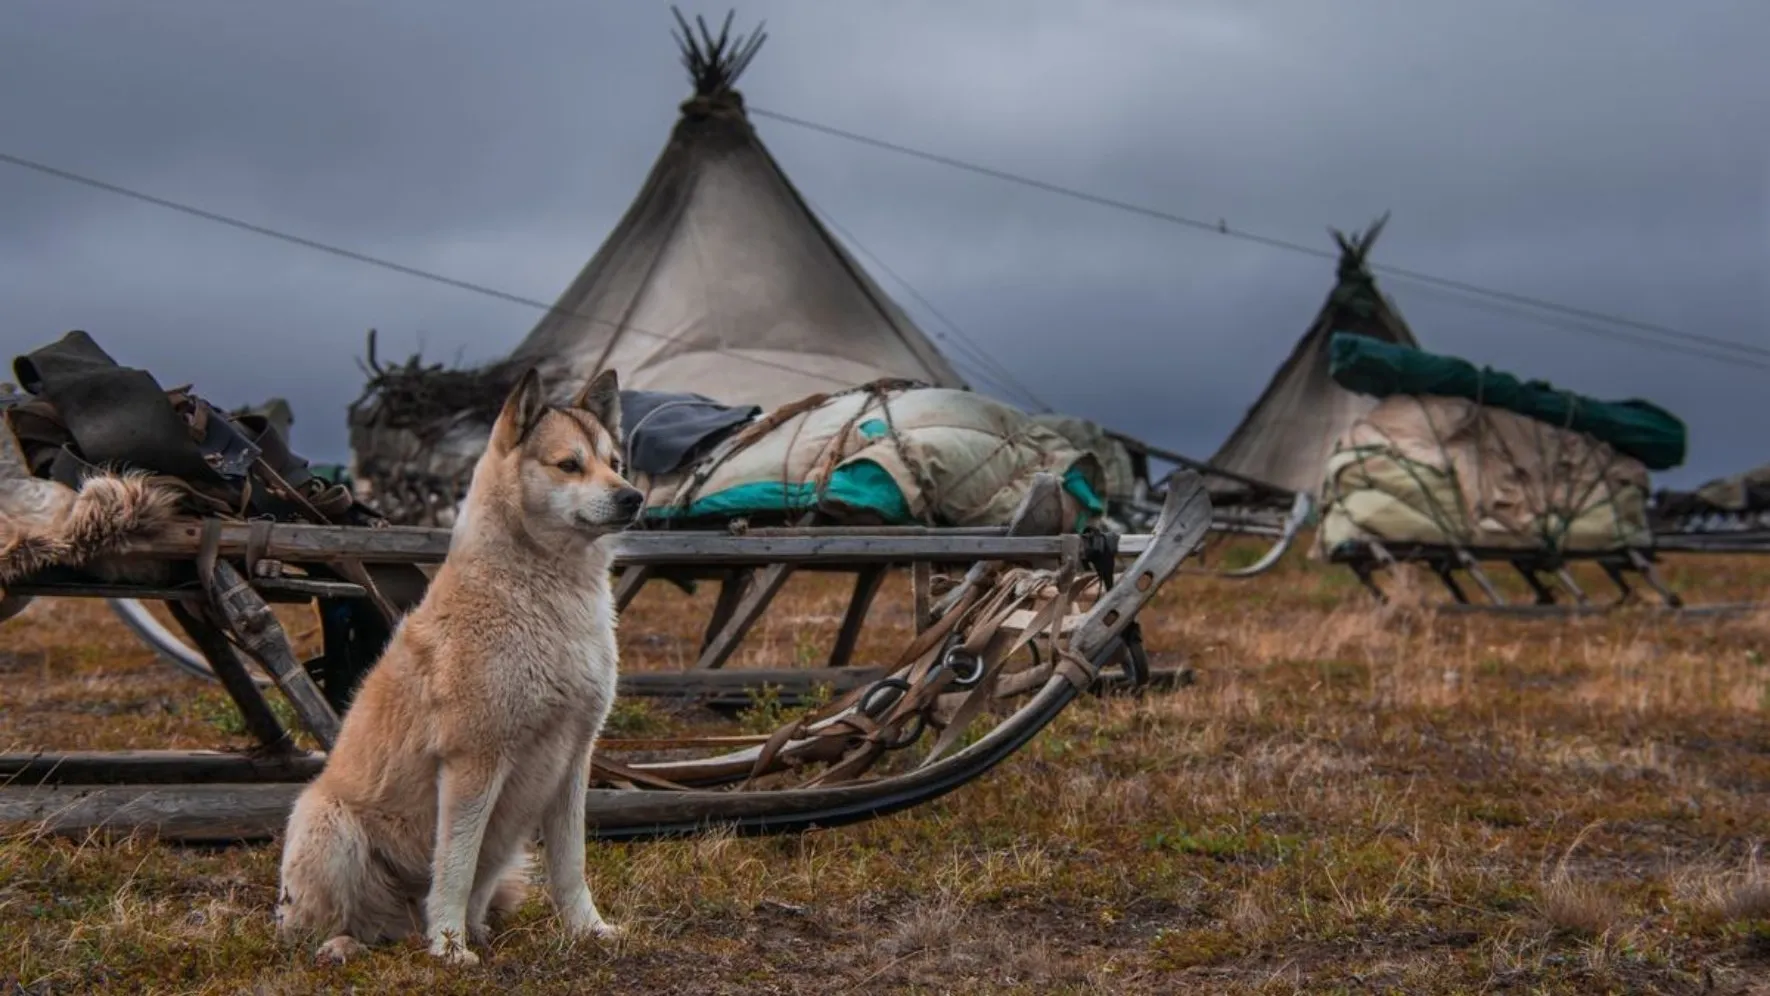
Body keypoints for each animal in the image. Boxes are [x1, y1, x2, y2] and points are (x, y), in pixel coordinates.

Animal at [272, 366, 640, 969]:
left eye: (615, 463)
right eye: (569, 464)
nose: (634, 497)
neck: (542, 594)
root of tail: (396, 926)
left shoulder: (574, 759)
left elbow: (572, 864)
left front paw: (589, 930)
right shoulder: (474, 762)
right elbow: (454, 867)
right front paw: (447, 948)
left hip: (511, 859)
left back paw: (471, 931)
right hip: (329, 824)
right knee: (312, 925)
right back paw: (345, 944)